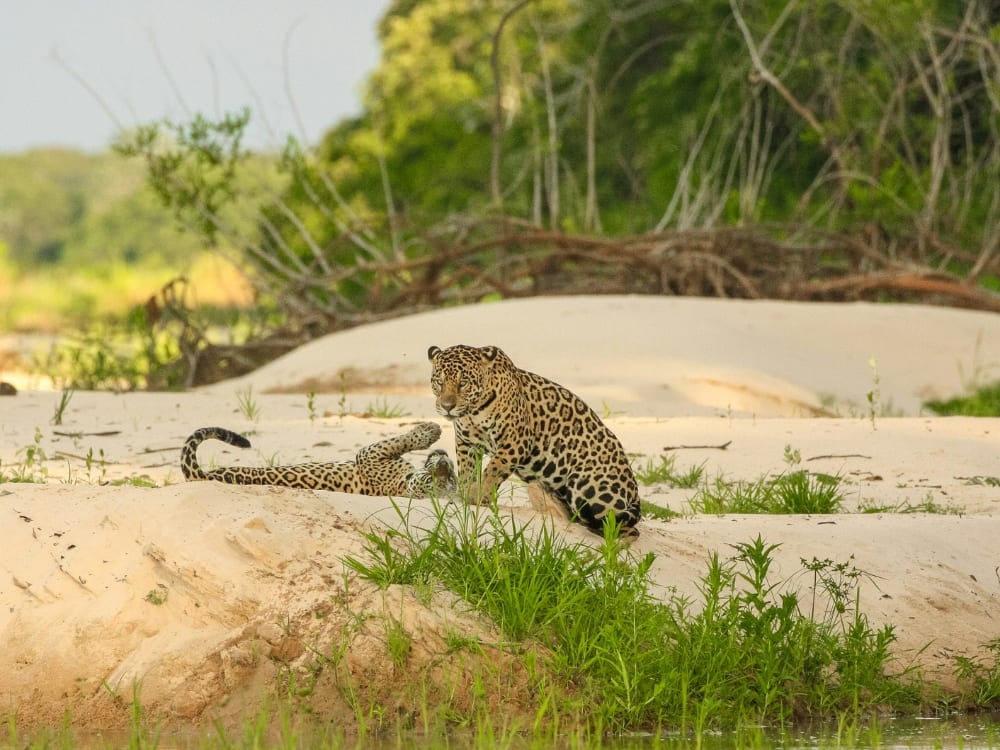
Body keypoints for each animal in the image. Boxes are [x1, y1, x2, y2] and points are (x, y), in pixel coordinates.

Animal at [181, 421, 456, 497]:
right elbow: (402, 440)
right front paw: (432, 430)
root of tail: (201, 475)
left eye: (447, 481)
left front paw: (430, 431)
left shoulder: (370, 455)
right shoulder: (371, 455)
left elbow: (401, 440)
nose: (443, 463)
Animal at [427, 344, 641, 537]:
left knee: (625, 528)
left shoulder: (515, 441)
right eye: (439, 382)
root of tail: (635, 494)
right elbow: (467, 471)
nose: (447, 406)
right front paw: (465, 495)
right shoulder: (466, 443)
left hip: (586, 486)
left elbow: (493, 470)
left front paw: (479, 495)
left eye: (463, 383)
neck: (473, 411)